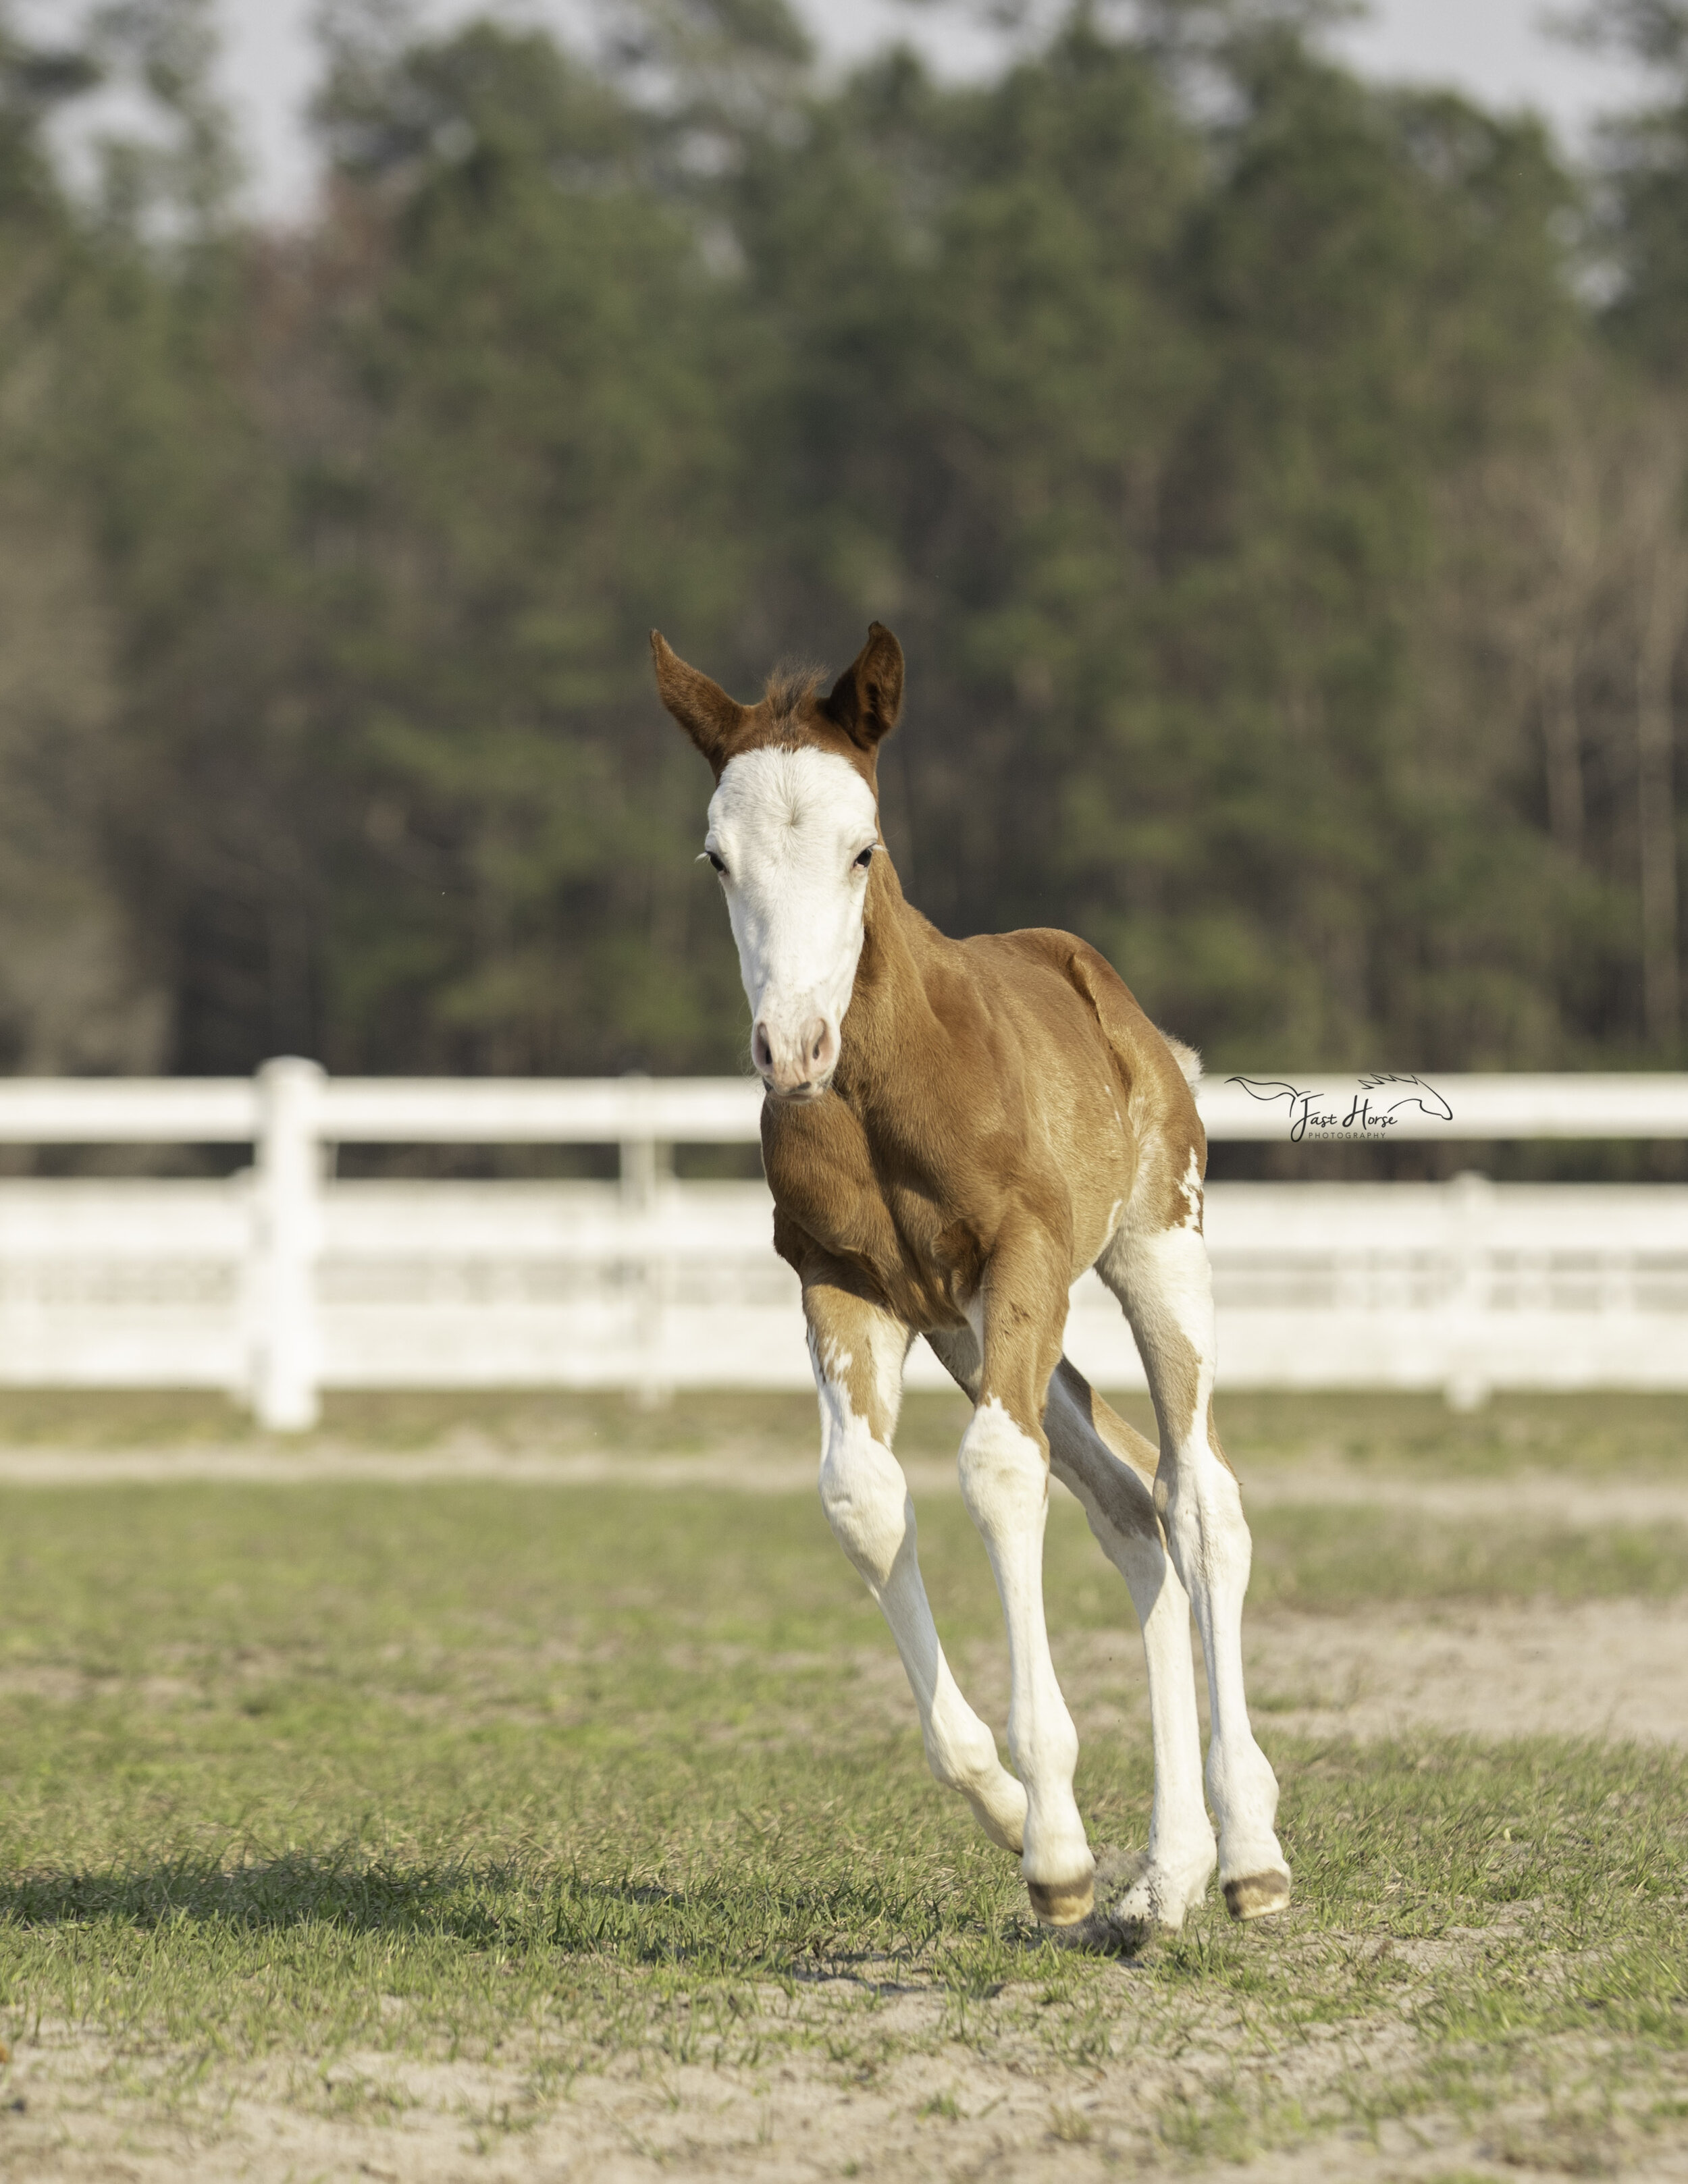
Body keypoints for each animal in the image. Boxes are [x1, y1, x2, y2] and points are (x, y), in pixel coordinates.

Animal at [650, 624, 1284, 1939]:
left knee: (1198, 1496)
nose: (792, 1049)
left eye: (863, 848)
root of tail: (1125, 1010)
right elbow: (863, 1497)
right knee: (1129, 1506)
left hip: (1155, 1249)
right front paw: (1006, 1805)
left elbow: (996, 1475)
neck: (892, 1082)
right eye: (717, 858)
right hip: (974, 1331)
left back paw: (1248, 1851)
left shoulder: (1026, 1255)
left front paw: (1056, 1849)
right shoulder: (845, 1285)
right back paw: (1167, 1875)